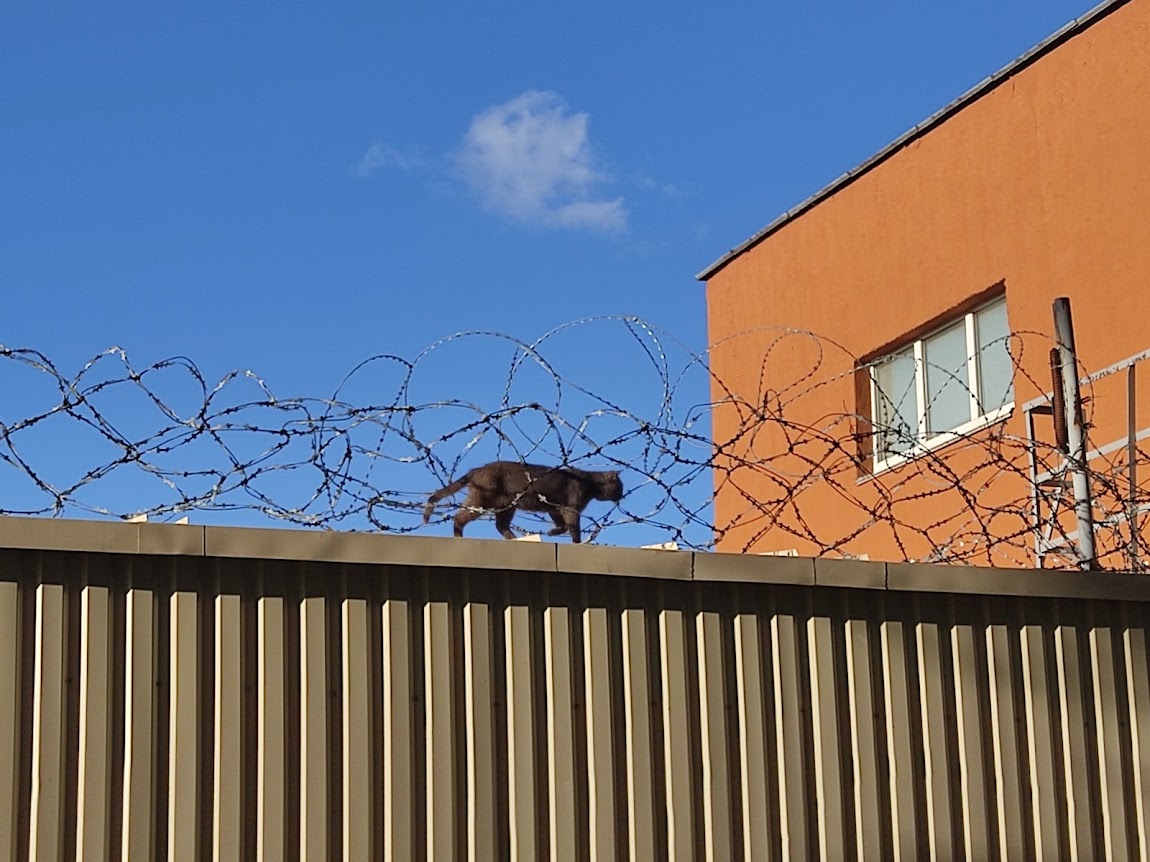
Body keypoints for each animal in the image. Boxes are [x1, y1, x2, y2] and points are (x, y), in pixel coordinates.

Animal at [420, 462, 625, 542]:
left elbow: (561, 525)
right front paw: (577, 542)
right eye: (620, 486)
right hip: (483, 501)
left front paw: (553, 532)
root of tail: (477, 469)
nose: (622, 495)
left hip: (506, 506)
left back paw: (515, 538)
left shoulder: (554, 508)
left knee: (500, 525)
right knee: (459, 517)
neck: (589, 483)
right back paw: (458, 536)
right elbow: (574, 528)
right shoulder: (570, 508)